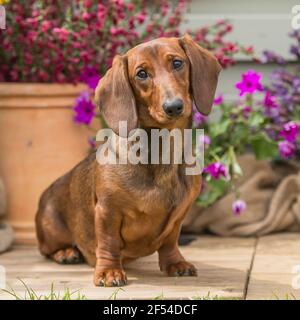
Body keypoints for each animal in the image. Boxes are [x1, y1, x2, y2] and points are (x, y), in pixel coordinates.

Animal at [36, 35, 221, 288]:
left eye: (177, 63)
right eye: (141, 74)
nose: (173, 106)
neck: (162, 150)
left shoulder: (179, 214)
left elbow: (170, 241)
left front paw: (175, 263)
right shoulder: (107, 210)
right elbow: (109, 243)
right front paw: (108, 272)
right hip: (52, 229)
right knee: (47, 250)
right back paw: (66, 252)